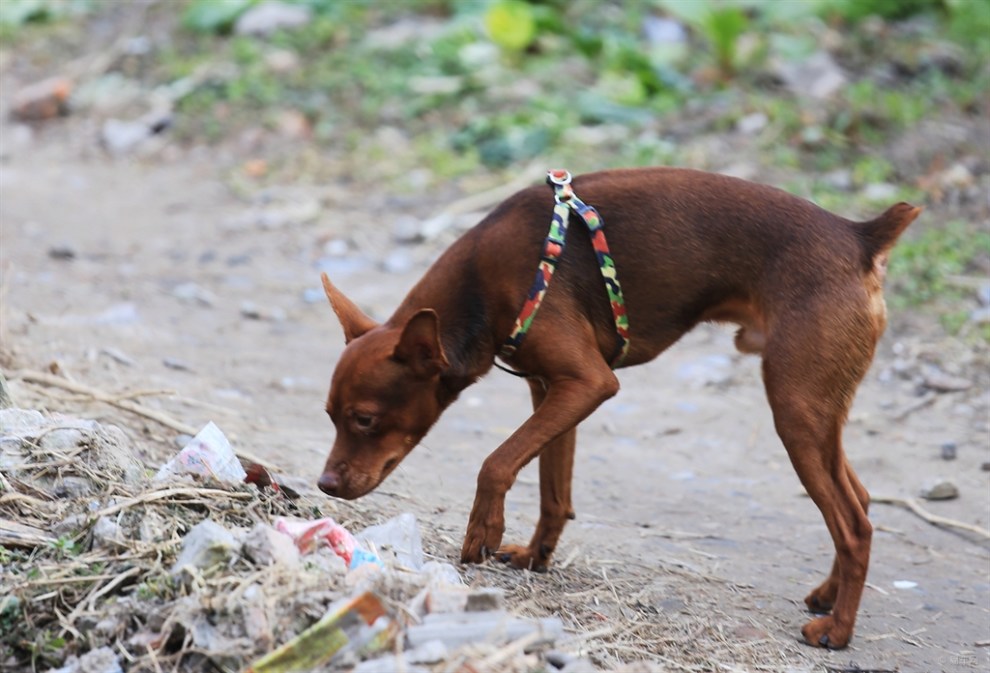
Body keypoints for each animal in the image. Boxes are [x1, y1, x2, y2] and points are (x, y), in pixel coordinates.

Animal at [318, 167, 924, 644]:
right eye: (329, 416)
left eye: (365, 420)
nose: (325, 484)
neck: (478, 290)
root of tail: (859, 237)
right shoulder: (554, 388)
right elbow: (553, 491)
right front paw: (535, 557)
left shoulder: (589, 384)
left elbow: (496, 462)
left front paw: (483, 530)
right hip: (818, 411)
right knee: (861, 499)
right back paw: (827, 594)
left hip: (795, 409)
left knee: (853, 526)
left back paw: (837, 631)